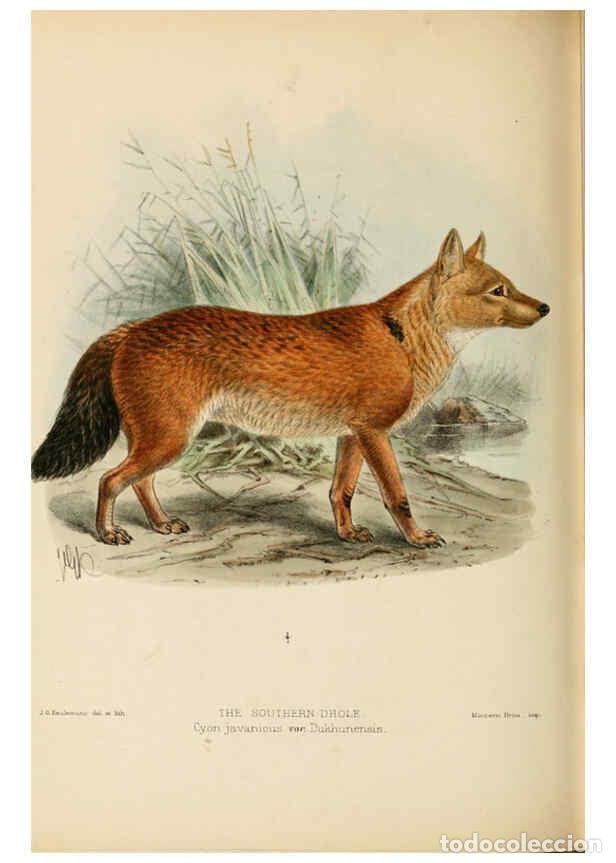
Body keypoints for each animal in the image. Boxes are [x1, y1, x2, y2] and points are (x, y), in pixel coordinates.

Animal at [32, 228, 549, 548]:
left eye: (511, 285)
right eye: (498, 291)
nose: (545, 306)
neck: (402, 339)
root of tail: (132, 329)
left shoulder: (353, 435)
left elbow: (340, 492)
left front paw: (347, 535)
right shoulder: (376, 433)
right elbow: (398, 495)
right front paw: (417, 539)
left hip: (163, 440)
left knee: (140, 482)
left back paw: (161, 525)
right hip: (168, 438)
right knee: (110, 479)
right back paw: (108, 535)